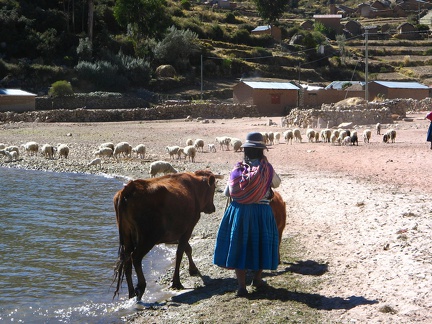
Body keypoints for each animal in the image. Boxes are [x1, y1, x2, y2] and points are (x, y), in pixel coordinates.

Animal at [112, 171, 223, 300]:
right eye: (214, 188)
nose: (213, 208)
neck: (194, 188)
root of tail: (129, 188)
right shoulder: (188, 228)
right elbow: (180, 252)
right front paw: (177, 282)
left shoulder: (178, 232)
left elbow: (187, 249)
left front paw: (193, 269)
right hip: (148, 237)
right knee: (135, 257)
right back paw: (141, 287)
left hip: (127, 237)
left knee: (126, 260)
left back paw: (131, 293)